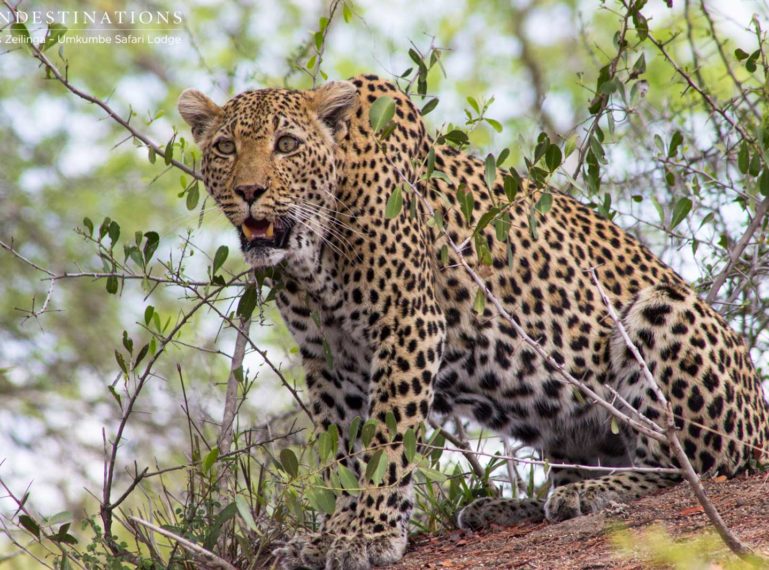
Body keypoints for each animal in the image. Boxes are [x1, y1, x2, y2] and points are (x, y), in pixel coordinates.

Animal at [177, 73, 764, 564]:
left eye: (287, 145)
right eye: (225, 148)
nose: (249, 192)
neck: (312, 250)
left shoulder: (407, 322)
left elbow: (387, 441)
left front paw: (369, 534)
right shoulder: (330, 357)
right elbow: (338, 452)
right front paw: (333, 533)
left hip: (663, 314)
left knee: (688, 464)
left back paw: (589, 493)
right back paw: (507, 506)